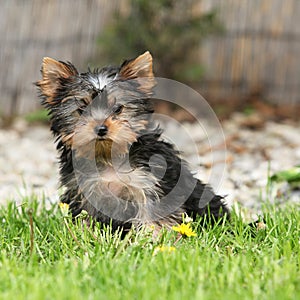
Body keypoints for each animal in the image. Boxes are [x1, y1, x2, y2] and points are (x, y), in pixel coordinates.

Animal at [36, 51, 229, 232]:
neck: (107, 154)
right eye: (82, 109)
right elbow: (85, 217)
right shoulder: (83, 190)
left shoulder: (149, 183)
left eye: (118, 109)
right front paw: (85, 235)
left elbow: (153, 215)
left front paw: (152, 239)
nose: (101, 129)